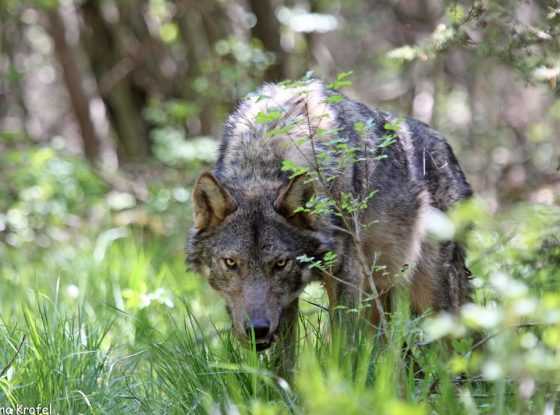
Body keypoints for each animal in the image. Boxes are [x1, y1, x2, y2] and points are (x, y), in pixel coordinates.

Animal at [188, 79, 472, 360]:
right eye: (231, 263)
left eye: (280, 263)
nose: (257, 330)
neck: (267, 157)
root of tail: (448, 151)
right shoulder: (288, 300)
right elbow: (284, 362)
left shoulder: (346, 275)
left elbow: (343, 348)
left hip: (433, 300)